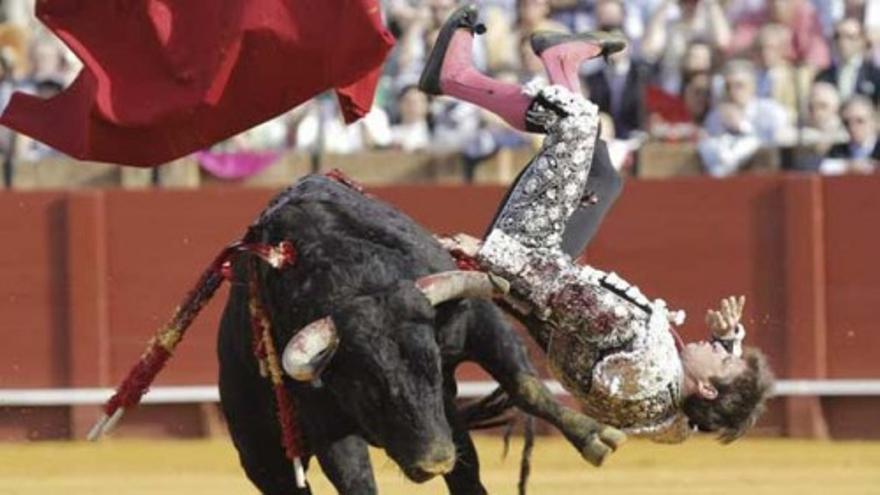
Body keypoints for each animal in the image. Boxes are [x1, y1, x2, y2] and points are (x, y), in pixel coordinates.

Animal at [217, 176, 624, 494]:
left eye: (435, 369)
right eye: (367, 389)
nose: (435, 463)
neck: (360, 282)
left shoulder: (478, 322)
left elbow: (526, 386)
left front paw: (595, 436)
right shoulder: (323, 414)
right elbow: (356, 479)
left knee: (467, 472)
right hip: (262, 457)